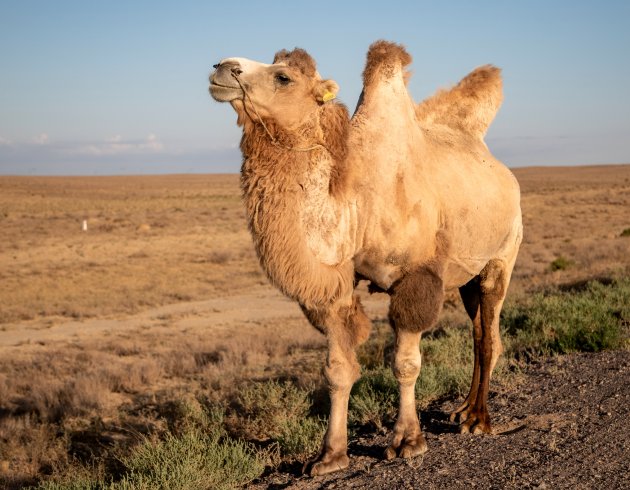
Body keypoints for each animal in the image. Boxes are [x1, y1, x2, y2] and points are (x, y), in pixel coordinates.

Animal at [209, 40, 524, 476]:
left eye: (283, 77)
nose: (222, 67)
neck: (356, 202)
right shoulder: (337, 286)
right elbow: (338, 370)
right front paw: (330, 456)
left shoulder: (417, 277)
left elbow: (405, 362)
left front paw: (408, 441)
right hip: (465, 277)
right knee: (478, 326)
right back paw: (461, 410)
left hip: (503, 254)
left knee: (489, 334)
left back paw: (478, 419)